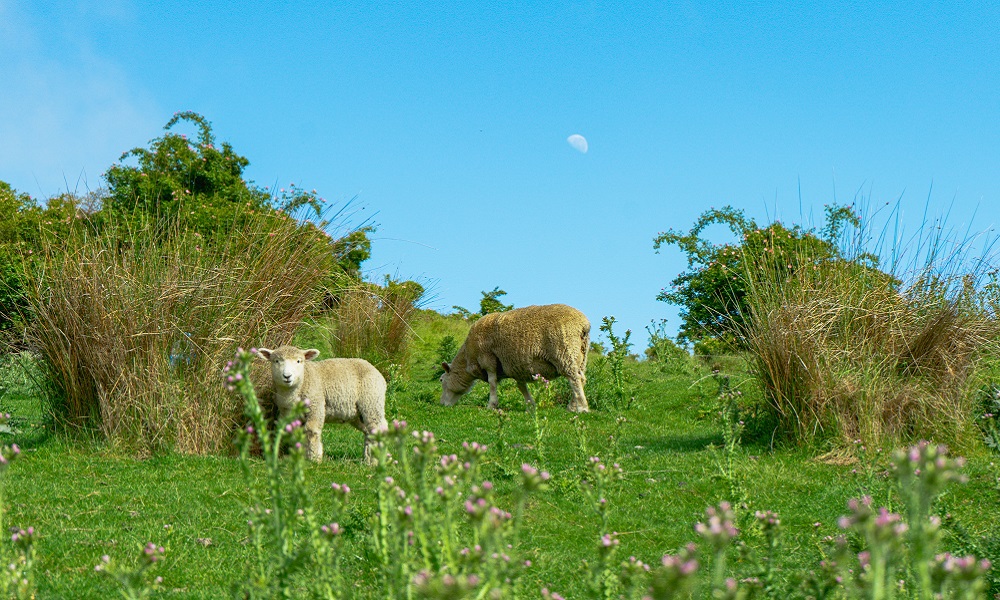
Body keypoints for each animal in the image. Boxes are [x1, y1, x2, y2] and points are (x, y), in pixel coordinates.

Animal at [254, 344, 386, 466]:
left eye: (298, 361)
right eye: (276, 361)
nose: (287, 376)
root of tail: (374, 369)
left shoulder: (315, 405)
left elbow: (311, 430)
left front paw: (314, 459)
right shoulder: (288, 412)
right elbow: (296, 433)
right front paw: (302, 457)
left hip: (371, 401)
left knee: (377, 427)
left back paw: (375, 460)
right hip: (357, 413)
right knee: (370, 430)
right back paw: (371, 457)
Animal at [442, 304, 588, 412]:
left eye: (441, 380)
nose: (442, 404)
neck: (468, 359)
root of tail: (584, 324)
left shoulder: (487, 358)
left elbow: (492, 382)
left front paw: (491, 405)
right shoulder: (517, 366)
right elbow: (521, 386)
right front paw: (530, 406)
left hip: (564, 351)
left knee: (575, 379)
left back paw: (582, 408)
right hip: (580, 355)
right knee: (581, 378)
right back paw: (573, 407)